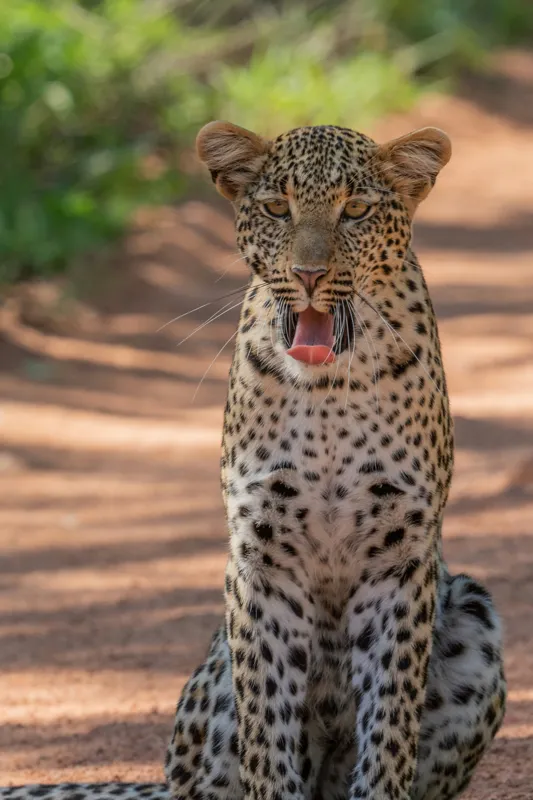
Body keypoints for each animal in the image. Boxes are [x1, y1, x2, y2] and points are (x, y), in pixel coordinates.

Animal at [2, 121, 506, 800]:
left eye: (356, 210)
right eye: (276, 209)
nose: (309, 274)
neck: (329, 391)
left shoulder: (400, 558)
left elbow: (390, 724)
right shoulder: (262, 557)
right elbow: (267, 726)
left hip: (473, 615)